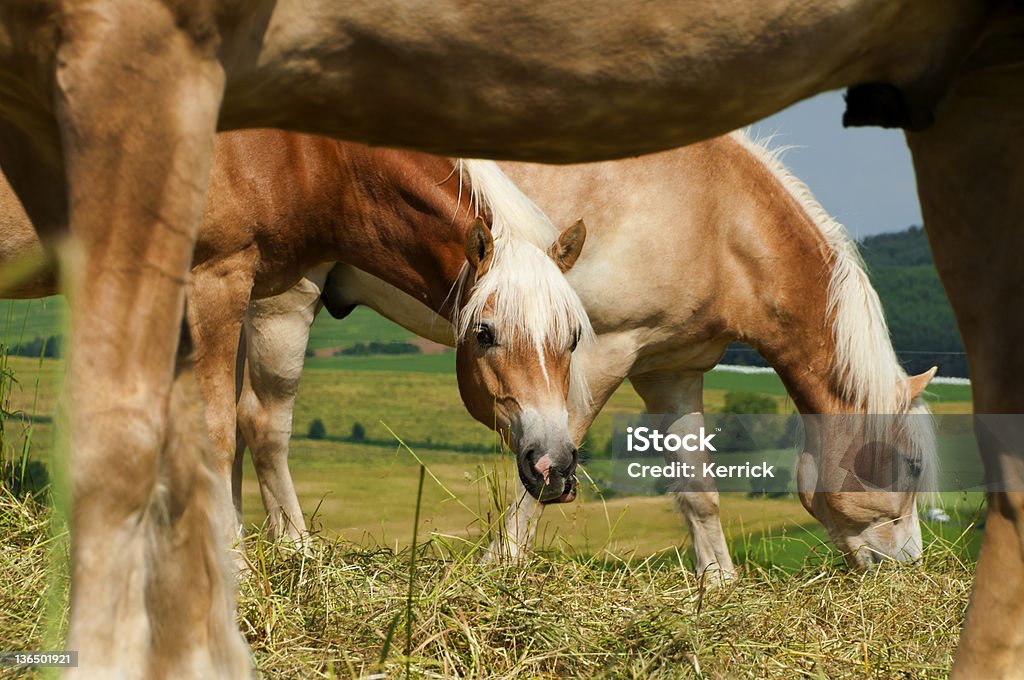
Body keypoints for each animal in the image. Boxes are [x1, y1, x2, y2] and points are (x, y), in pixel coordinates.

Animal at [235, 131, 937, 577]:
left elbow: (699, 491)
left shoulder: (672, 372)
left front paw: (718, 586)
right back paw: (289, 552)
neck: (716, 216)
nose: (909, 566)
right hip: (282, 299)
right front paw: (500, 565)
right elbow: (552, 458)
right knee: (263, 424)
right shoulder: (602, 357)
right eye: (908, 465)